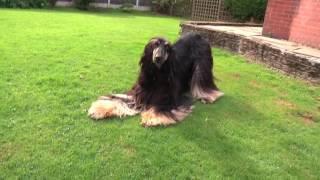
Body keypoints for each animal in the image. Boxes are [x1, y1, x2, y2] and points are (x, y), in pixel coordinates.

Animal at [87, 33, 222, 127]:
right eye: (155, 45)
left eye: (167, 48)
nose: (158, 58)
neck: (156, 74)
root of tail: (198, 35)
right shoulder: (138, 93)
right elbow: (118, 99)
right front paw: (100, 109)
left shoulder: (168, 98)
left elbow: (159, 107)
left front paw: (150, 117)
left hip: (202, 65)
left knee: (203, 83)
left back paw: (207, 97)